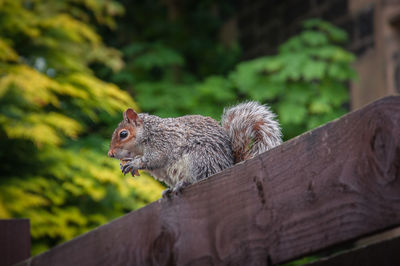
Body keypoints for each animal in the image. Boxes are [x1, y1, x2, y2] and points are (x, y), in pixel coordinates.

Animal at [106, 102, 282, 197]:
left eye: (123, 134)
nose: (110, 154)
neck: (148, 134)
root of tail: (227, 165)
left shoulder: (164, 141)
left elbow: (156, 158)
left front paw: (134, 163)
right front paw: (128, 162)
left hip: (199, 159)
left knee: (199, 177)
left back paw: (183, 183)